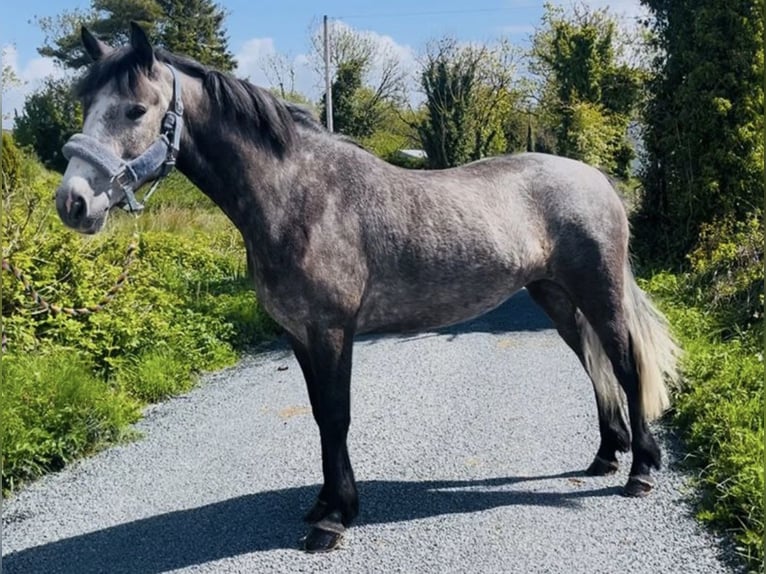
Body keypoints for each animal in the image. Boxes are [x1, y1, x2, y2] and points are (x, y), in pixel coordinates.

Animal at [54, 23, 680, 553]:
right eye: (85, 104)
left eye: (137, 108)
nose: (73, 203)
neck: (300, 196)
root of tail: (597, 179)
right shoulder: (301, 335)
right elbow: (318, 415)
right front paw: (324, 503)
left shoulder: (332, 331)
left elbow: (337, 416)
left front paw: (334, 519)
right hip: (555, 296)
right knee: (594, 365)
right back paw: (606, 455)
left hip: (597, 290)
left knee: (626, 365)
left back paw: (640, 470)